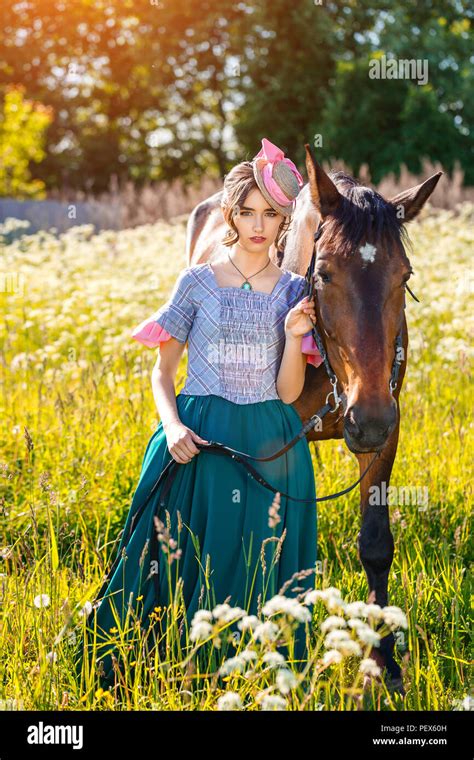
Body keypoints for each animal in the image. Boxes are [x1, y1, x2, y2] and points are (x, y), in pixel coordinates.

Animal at [184, 144, 440, 696]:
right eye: (323, 275)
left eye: (404, 277)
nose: (367, 418)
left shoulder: (386, 433)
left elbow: (376, 544)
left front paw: (383, 662)